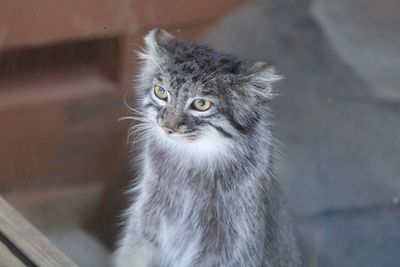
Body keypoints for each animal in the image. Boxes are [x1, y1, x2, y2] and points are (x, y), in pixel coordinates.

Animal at [113, 28, 304, 266]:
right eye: (161, 92)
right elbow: (133, 252)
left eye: (201, 104)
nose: (167, 127)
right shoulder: (146, 217)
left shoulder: (227, 245)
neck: (190, 162)